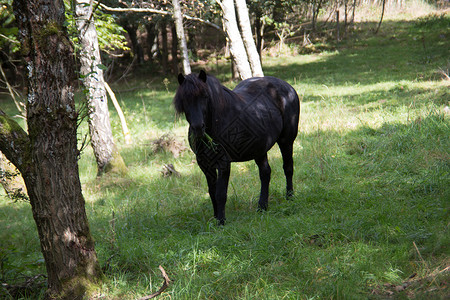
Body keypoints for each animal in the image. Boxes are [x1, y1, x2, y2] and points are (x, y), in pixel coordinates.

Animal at [175, 71, 298, 225]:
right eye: (184, 99)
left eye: (205, 96)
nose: (198, 128)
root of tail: (288, 87)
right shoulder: (205, 164)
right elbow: (212, 192)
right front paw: (215, 217)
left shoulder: (223, 162)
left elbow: (221, 193)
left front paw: (221, 221)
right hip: (260, 149)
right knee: (265, 173)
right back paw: (262, 207)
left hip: (286, 142)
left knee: (288, 168)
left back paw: (290, 197)